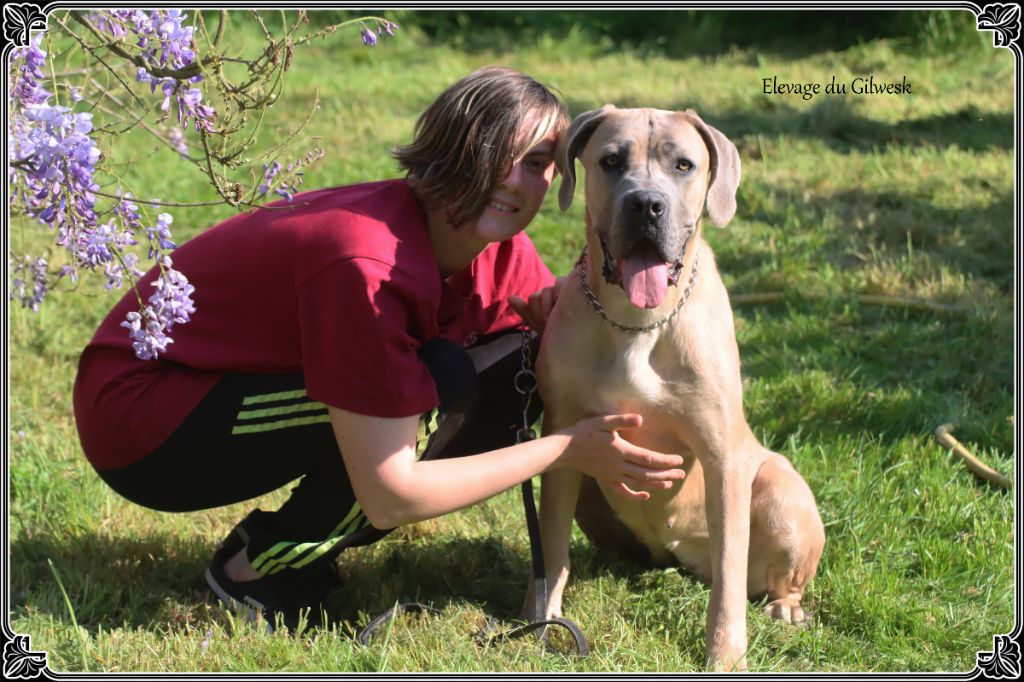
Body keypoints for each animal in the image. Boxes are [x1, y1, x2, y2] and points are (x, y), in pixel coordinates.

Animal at [524, 107, 827, 667]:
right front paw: (544, 620)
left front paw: (726, 655)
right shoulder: (563, 441)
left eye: (684, 164)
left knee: (772, 576)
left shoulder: (722, 457)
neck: (637, 322)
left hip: (780, 487)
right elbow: (551, 549)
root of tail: (680, 557)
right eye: (611, 160)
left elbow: (729, 579)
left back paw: (786, 608)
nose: (646, 204)